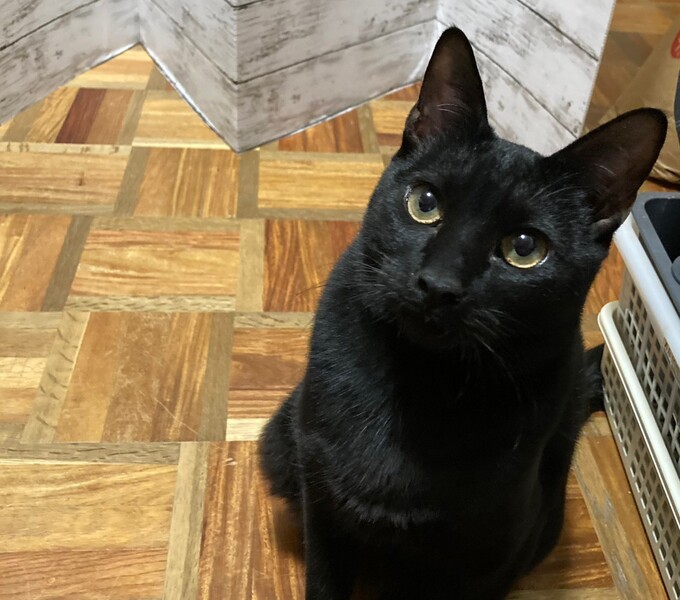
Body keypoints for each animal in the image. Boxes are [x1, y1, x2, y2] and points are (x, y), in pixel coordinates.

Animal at [259, 27, 666, 600]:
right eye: (425, 203)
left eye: (525, 248)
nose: (439, 284)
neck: (420, 387)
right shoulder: (323, 509)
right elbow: (324, 579)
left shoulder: (487, 556)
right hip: (281, 445)